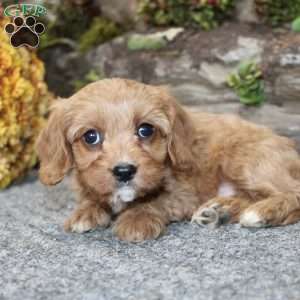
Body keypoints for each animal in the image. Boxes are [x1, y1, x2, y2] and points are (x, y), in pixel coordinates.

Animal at [36, 78, 300, 243]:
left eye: (145, 130)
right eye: (91, 137)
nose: (124, 171)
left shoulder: (184, 194)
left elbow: (155, 201)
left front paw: (136, 218)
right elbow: (92, 196)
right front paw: (85, 211)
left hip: (245, 160)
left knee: (292, 192)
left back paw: (261, 212)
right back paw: (219, 210)